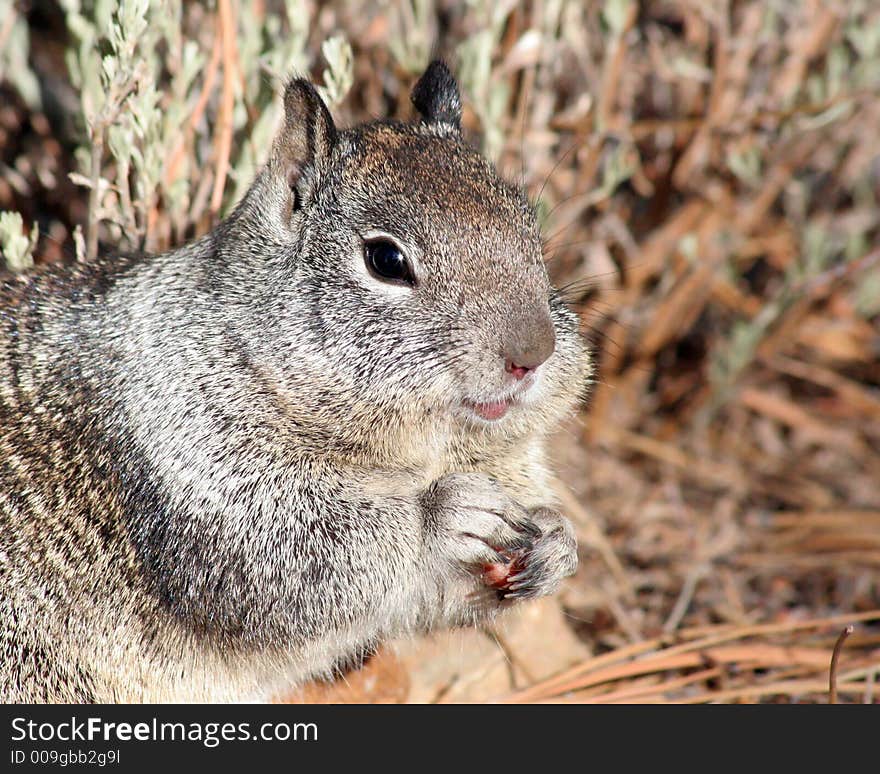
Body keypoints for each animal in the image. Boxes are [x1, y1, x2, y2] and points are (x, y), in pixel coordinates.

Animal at [1, 60, 592, 704]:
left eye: (529, 225)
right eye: (386, 260)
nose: (533, 353)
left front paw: (558, 541)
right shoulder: (203, 481)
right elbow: (302, 564)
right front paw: (443, 514)